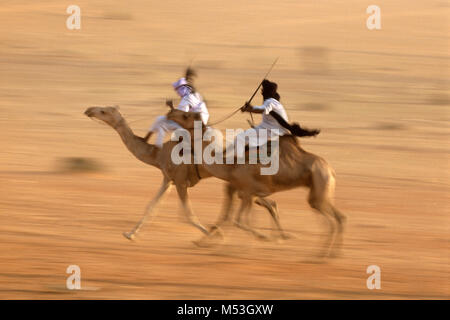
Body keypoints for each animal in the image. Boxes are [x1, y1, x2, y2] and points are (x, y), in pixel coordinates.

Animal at [82, 106, 284, 241]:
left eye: (104, 111)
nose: (89, 110)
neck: (157, 154)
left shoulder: (179, 181)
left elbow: (188, 214)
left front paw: (212, 235)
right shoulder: (168, 179)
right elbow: (151, 207)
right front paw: (130, 234)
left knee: (264, 202)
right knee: (269, 203)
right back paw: (275, 236)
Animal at [167, 109, 346, 256]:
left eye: (186, 115)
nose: (170, 112)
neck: (230, 165)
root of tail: (331, 170)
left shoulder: (247, 191)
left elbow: (239, 220)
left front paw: (263, 237)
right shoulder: (247, 192)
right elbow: (235, 217)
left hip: (319, 183)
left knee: (331, 219)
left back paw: (320, 255)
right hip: (321, 189)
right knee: (339, 217)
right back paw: (330, 254)